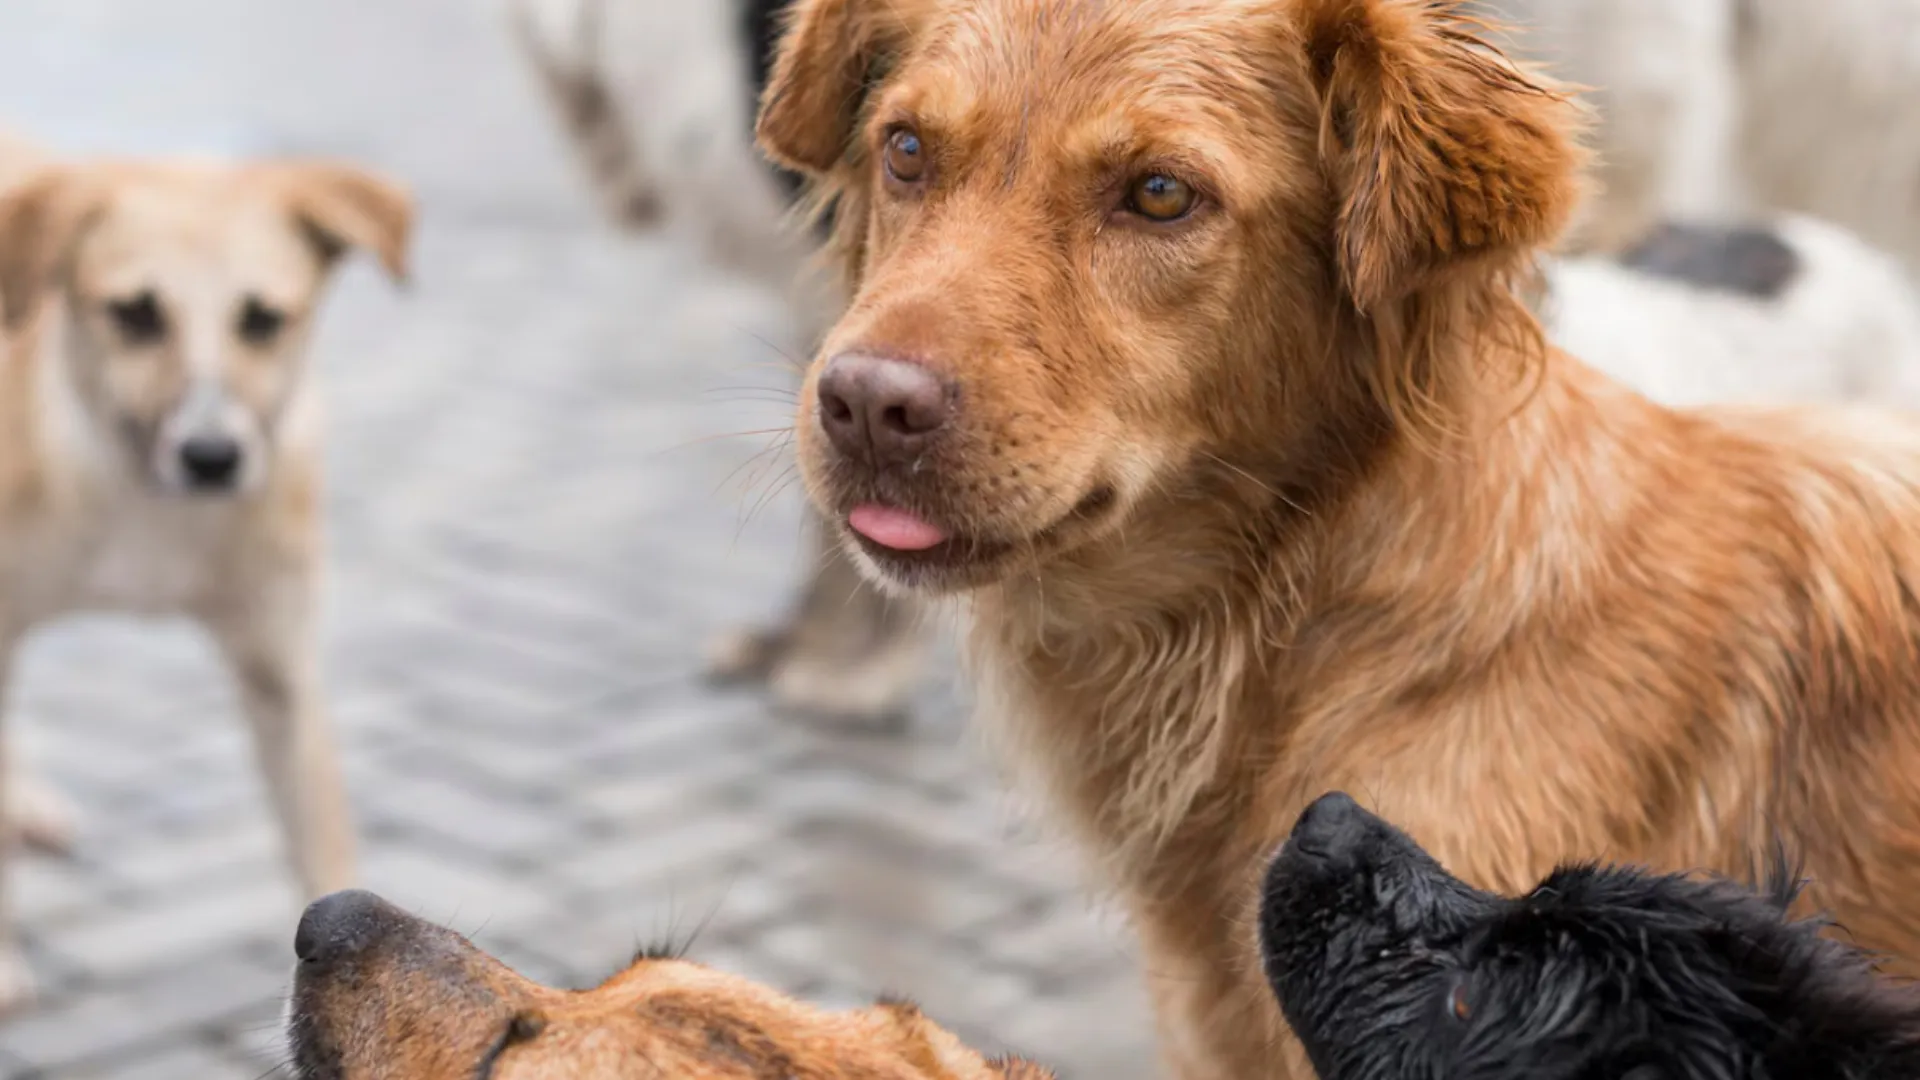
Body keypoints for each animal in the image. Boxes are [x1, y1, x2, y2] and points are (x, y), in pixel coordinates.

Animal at [0, 136, 412, 1006]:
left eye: (262, 320)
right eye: (134, 313)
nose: (212, 456)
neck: (142, 497)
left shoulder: (280, 666)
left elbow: (322, 837)